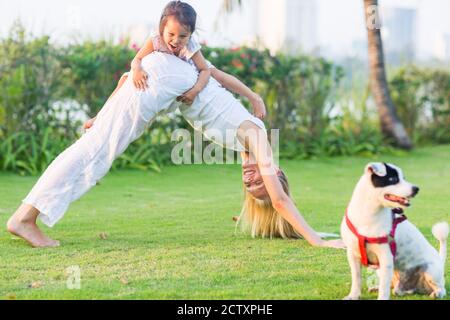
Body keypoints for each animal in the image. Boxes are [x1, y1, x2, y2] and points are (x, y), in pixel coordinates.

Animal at [342, 162, 446, 300]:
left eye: (404, 178)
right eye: (393, 179)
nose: (416, 189)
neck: (368, 214)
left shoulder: (385, 257)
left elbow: (384, 288)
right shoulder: (352, 255)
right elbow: (356, 279)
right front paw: (353, 295)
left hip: (431, 271)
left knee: (442, 288)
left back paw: (437, 293)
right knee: (393, 286)